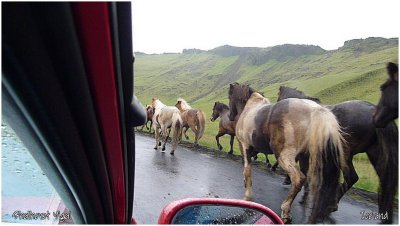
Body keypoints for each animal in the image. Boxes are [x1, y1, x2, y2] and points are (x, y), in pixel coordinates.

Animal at [228, 82, 346, 222]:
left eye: (230, 96)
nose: (230, 116)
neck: (250, 108)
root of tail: (315, 110)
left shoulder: (245, 146)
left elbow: (247, 170)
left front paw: (247, 196)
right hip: (304, 156)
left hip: (284, 156)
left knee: (299, 178)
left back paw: (285, 210)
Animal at [276, 85, 398, 224]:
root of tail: (374, 111)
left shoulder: (302, 153)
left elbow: (301, 169)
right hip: (375, 154)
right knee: (383, 182)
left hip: (345, 154)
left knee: (352, 177)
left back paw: (329, 206)